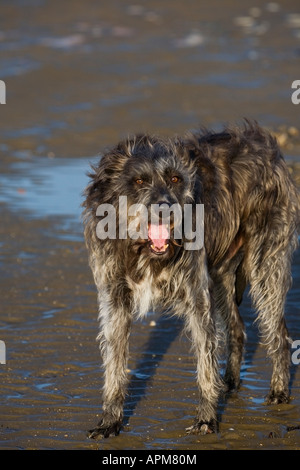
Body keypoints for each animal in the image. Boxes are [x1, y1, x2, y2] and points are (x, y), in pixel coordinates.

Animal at [81, 120, 298, 436]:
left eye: (174, 178)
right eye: (138, 181)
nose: (165, 209)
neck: (143, 250)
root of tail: (269, 147)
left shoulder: (197, 295)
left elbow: (205, 361)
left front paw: (207, 417)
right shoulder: (115, 299)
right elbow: (115, 362)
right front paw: (110, 420)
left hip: (265, 266)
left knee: (279, 332)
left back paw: (279, 391)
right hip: (221, 276)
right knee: (237, 328)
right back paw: (229, 383)